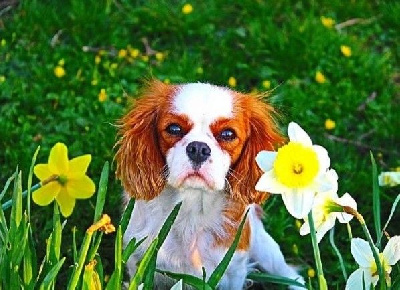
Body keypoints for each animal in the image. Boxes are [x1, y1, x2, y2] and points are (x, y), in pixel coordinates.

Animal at [117, 80, 304, 288]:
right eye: (174, 129)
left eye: (228, 134)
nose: (198, 148)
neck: (190, 208)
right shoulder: (137, 258)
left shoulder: (234, 270)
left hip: (266, 251)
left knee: (291, 275)